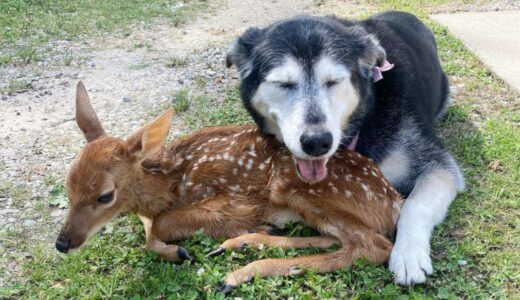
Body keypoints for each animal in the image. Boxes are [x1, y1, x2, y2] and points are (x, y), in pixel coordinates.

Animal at [225, 10, 466, 284]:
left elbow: (415, 205)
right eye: (283, 84)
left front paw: (408, 254)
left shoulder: (437, 164)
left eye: (334, 81)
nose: (317, 142)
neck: (366, 115)